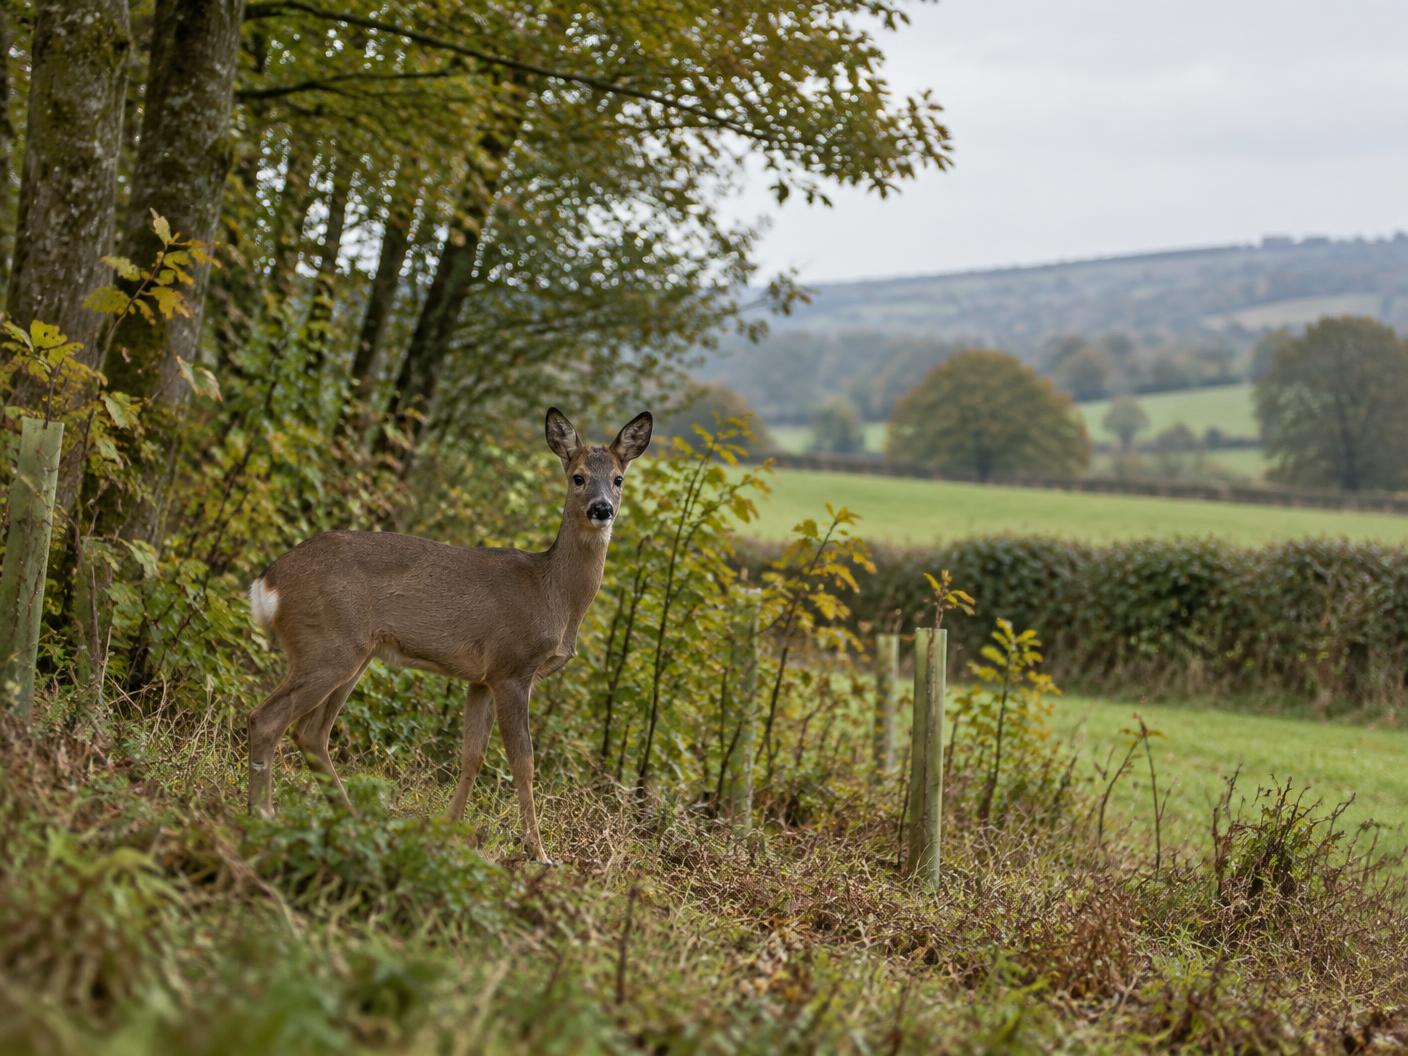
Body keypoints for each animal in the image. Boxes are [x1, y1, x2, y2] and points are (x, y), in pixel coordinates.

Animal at [245, 407, 652, 864]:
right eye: (578, 476)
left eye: (618, 478)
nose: (602, 509)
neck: (553, 595)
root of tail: (269, 583)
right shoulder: (512, 667)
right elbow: (524, 763)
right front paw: (540, 853)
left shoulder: (481, 678)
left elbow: (472, 756)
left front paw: (447, 829)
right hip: (327, 646)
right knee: (267, 718)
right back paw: (264, 814)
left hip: (352, 654)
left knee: (311, 733)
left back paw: (350, 819)